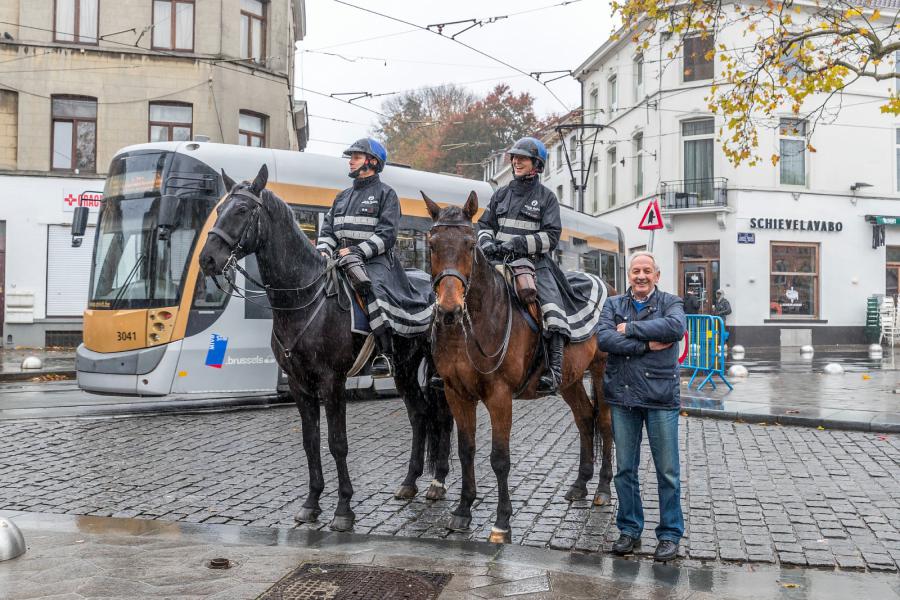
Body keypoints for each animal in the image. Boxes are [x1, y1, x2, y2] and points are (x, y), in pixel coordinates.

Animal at [200, 164, 454, 528]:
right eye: (220, 208)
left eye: (243, 210)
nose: (208, 259)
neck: (304, 300)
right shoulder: (299, 384)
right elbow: (311, 442)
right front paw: (311, 503)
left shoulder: (333, 381)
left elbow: (337, 443)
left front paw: (344, 508)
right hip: (404, 368)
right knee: (419, 415)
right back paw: (410, 482)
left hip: (438, 371)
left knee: (444, 416)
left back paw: (438, 482)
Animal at [426, 191, 616, 544]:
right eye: (432, 244)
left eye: (469, 245)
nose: (449, 310)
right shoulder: (456, 394)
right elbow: (466, 450)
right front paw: (463, 510)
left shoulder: (499, 396)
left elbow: (500, 459)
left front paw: (502, 522)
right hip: (570, 380)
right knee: (585, 418)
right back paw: (580, 485)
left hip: (601, 372)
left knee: (606, 423)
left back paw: (603, 489)